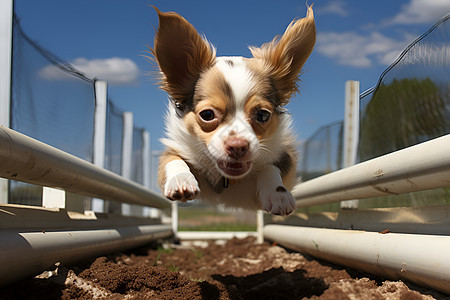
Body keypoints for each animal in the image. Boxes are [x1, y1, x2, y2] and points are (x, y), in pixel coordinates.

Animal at [151, 5, 316, 216]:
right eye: (207, 115)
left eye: (263, 115)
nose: (238, 146)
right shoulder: (174, 150)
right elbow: (172, 159)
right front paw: (180, 180)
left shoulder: (285, 158)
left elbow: (270, 168)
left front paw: (278, 194)